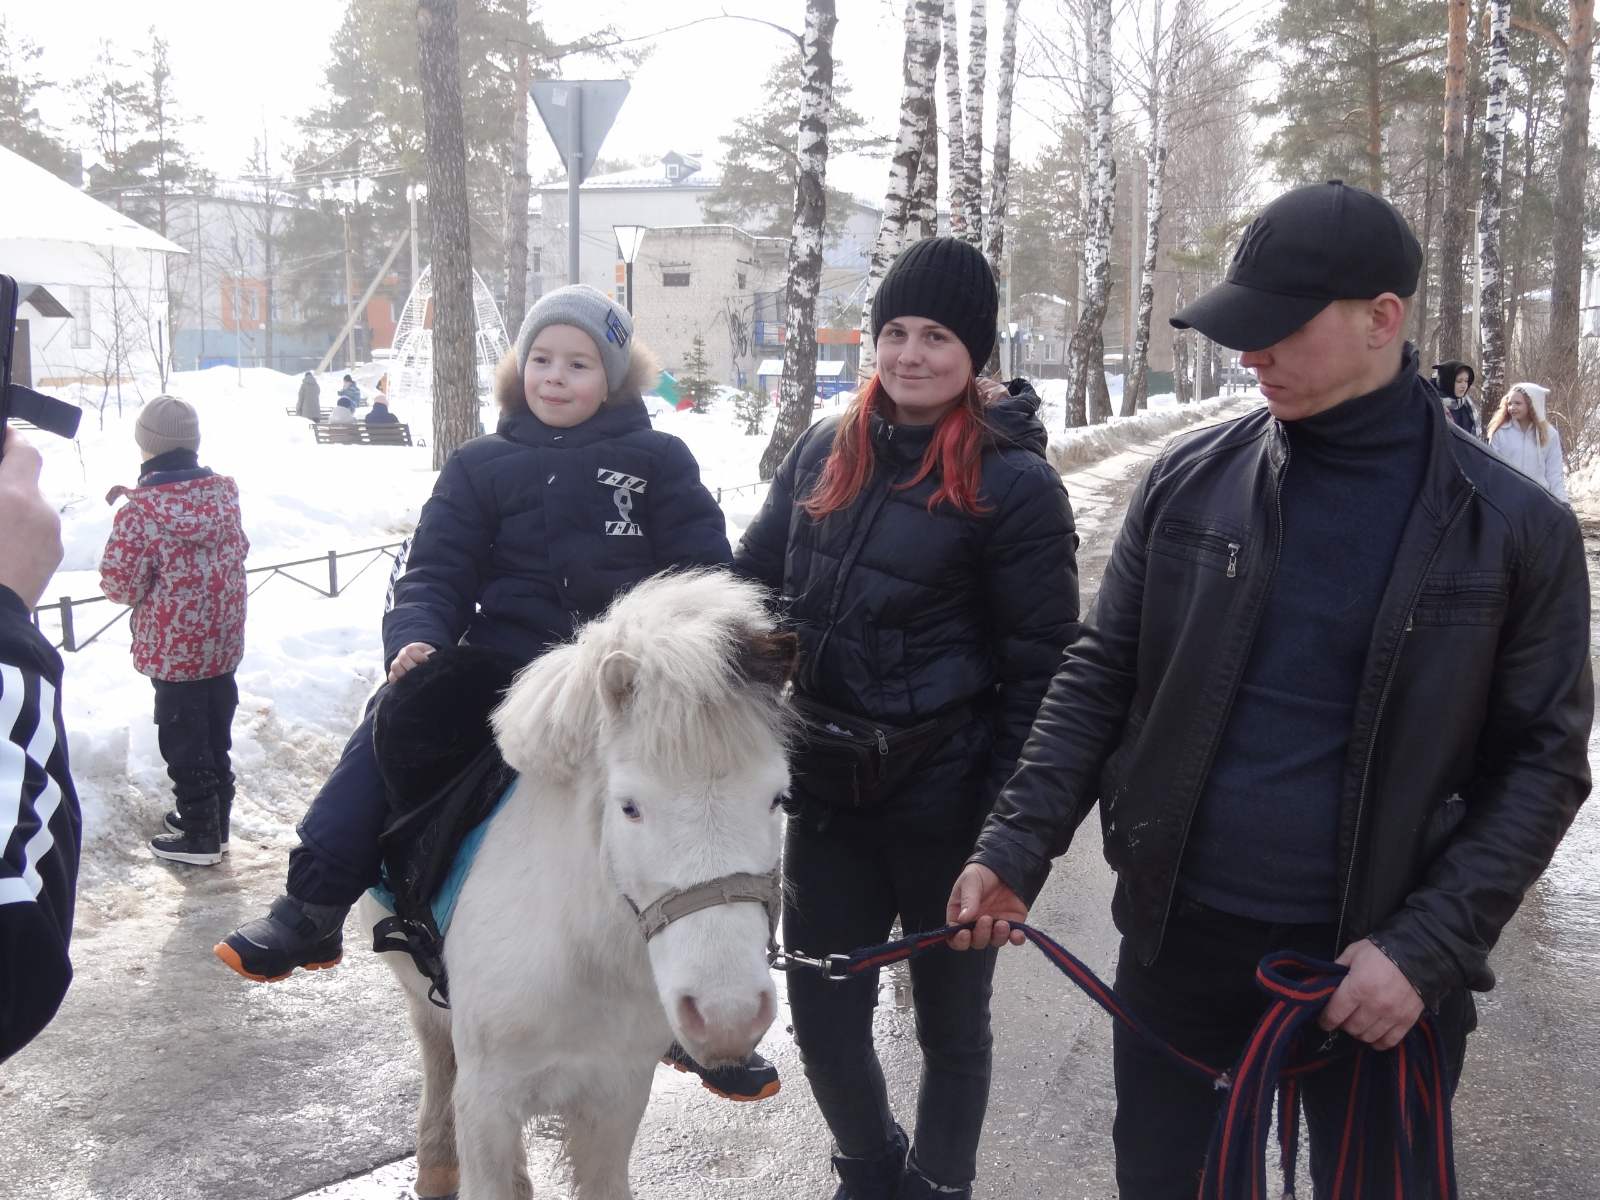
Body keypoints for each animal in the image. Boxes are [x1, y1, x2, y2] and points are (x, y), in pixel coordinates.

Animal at [358, 569, 797, 1200]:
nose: (727, 1014)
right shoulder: (489, 1099)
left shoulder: (617, 1095)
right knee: (437, 1050)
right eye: (629, 806)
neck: (583, 954)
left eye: (778, 797)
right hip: (423, 998)